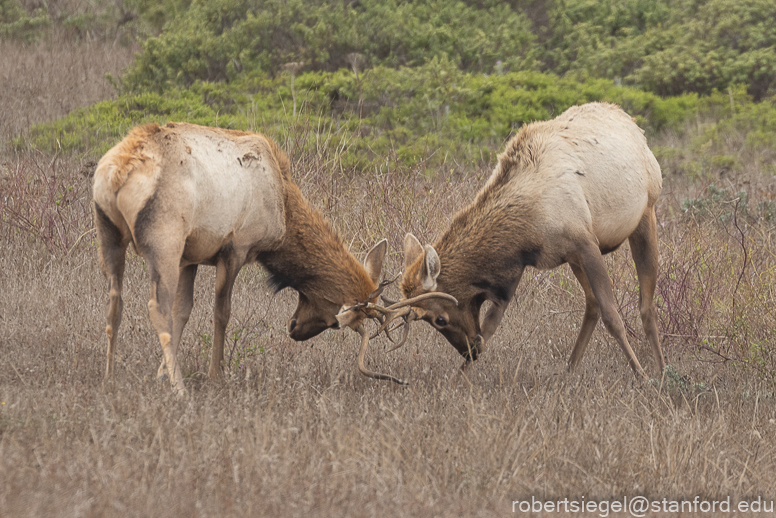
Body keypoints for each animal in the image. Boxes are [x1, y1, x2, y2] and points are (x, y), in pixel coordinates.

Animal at [91, 123, 446, 394]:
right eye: (336, 322)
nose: (294, 329)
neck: (283, 214)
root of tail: (117, 172)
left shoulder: (191, 256)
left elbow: (183, 312)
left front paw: (161, 374)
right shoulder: (234, 249)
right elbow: (221, 313)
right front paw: (214, 376)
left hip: (109, 234)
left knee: (115, 302)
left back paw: (109, 378)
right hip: (164, 240)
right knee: (155, 306)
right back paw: (180, 389)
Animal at [388, 103, 668, 380]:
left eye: (439, 319)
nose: (469, 349)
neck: (525, 229)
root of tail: (631, 122)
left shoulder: (586, 243)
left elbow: (613, 316)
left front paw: (641, 375)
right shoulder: (518, 269)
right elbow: (490, 326)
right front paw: (459, 378)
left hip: (646, 214)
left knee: (646, 306)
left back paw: (662, 370)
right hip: (575, 259)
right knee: (592, 304)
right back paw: (569, 369)